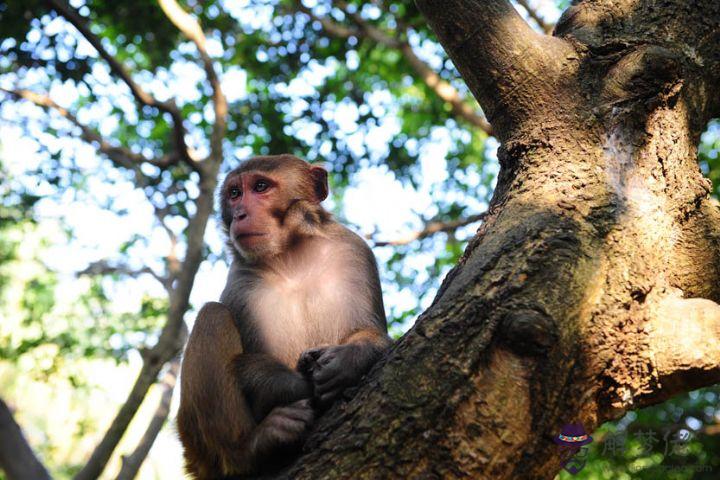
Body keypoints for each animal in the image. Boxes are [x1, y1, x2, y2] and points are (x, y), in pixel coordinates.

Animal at [176, 155, 388, 480]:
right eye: (235, 193)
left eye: (261, 187)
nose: (240, 214)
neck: (291, 259)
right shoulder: (242, 281)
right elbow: (249, 362)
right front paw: (300, 384)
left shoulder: (352, 251)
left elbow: (371, 332)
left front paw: (347, 360)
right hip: (194, 443)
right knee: (213, 315)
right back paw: (251, 448)